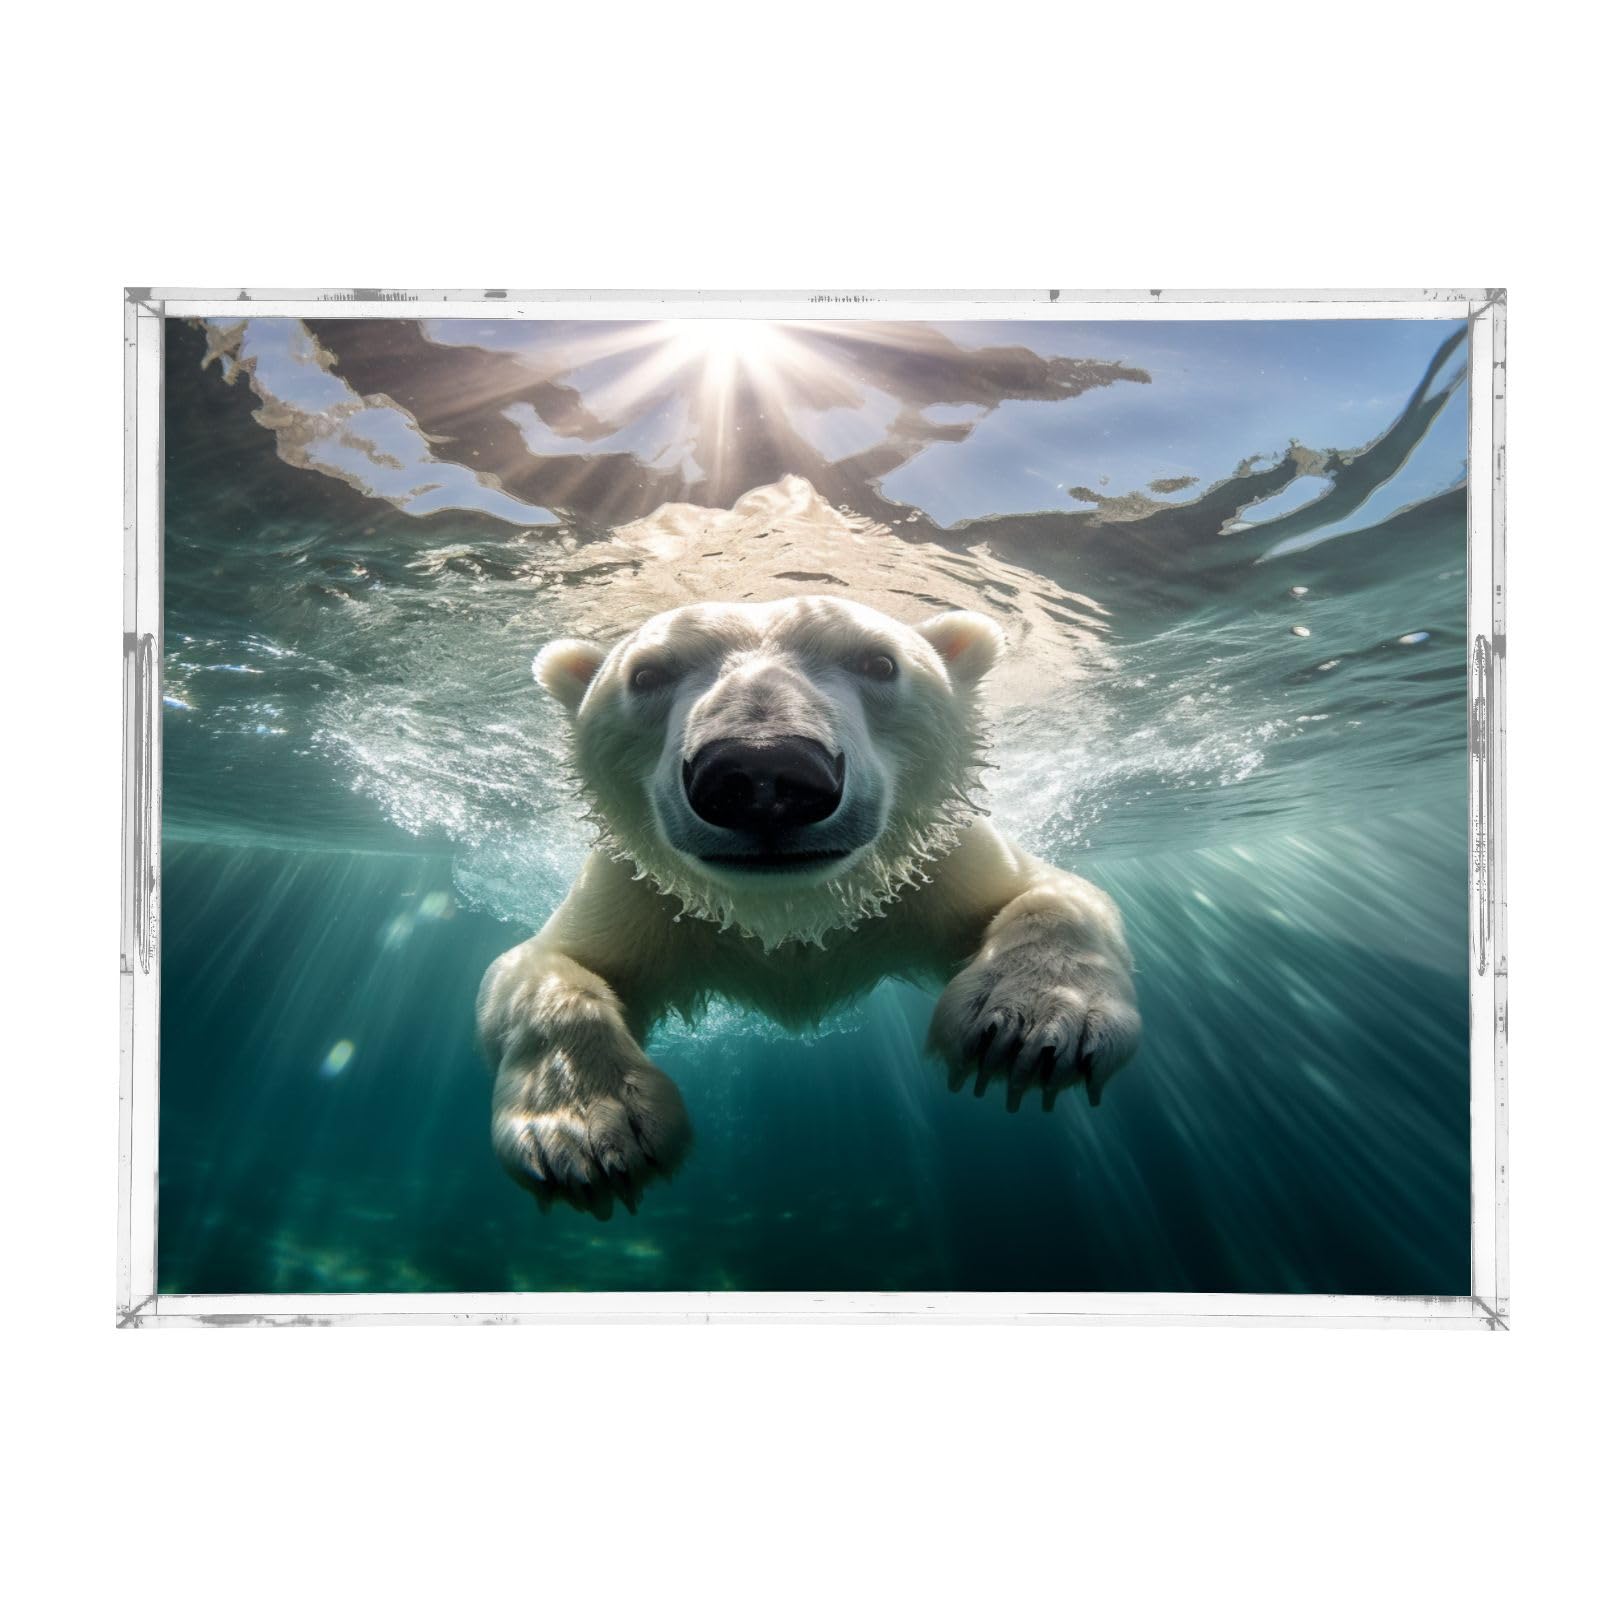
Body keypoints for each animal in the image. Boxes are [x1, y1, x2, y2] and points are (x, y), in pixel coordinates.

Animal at [476, 595, 1141, 1212]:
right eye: (645, 674)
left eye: (879, 661)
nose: (763, 773)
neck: (789, 908)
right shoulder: (645, 894)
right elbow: (540, 965)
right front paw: (585, 1133)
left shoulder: (932, 867)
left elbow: (1051, 892)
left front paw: (1028, 1029)